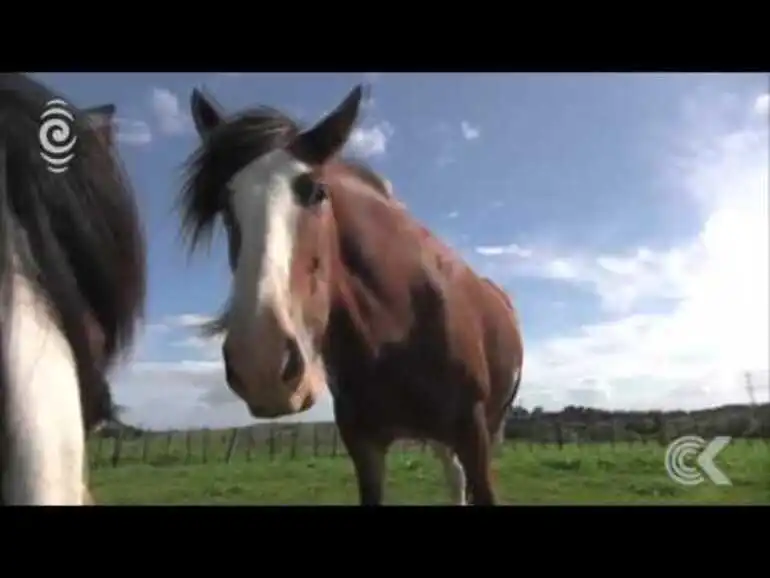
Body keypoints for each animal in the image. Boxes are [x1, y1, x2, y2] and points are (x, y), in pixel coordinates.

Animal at [176, 83, 520, 502]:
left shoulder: (474, 434)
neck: (397, 329)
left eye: (316, 192)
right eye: (226, 205)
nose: (261, 365)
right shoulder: (364, 445)